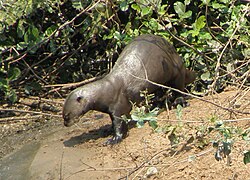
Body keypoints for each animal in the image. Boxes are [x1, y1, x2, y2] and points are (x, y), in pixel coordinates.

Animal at [62, 34, 195, 145]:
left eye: (66, 116)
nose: (65, 124)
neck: (105, 91)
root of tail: (178, 57)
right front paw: (108, 130)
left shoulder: (118, 105)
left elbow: (119, 123)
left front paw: (114, 139)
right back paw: (155, 106)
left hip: (175, 71)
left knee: (178, 87)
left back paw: (179, 101)